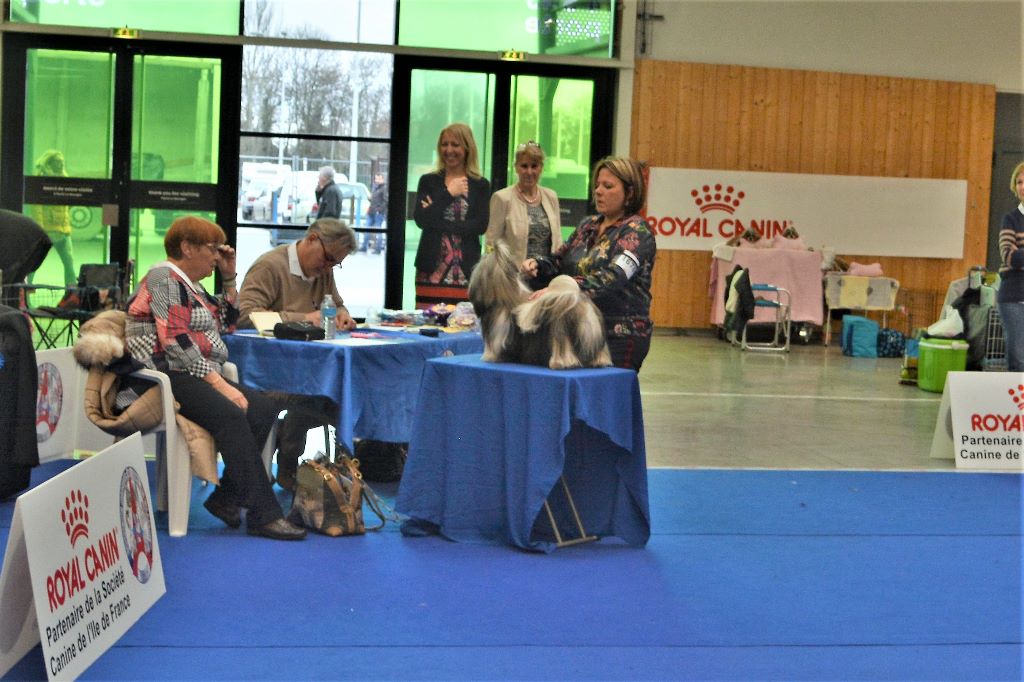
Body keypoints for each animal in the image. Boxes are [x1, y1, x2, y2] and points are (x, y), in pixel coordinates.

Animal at [468, 238, 610, 366]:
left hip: (559, 333)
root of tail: (573, 299)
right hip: (591, 332)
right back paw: (600, 361)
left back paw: (561, 363)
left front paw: (490, 357)